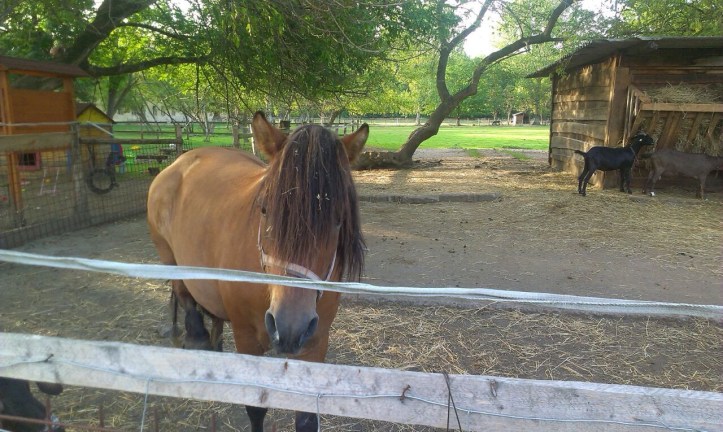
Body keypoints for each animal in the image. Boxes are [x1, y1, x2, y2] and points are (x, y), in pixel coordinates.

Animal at [147, 111, 368, 432]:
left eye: (339, 218)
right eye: (265, 210)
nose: (290, 326)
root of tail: (179, 163)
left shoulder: (315, 343)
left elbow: (306, 419)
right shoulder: (248, 339)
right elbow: (255, 408)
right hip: (170, 259)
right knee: (184, 296)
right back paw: (199, 339)